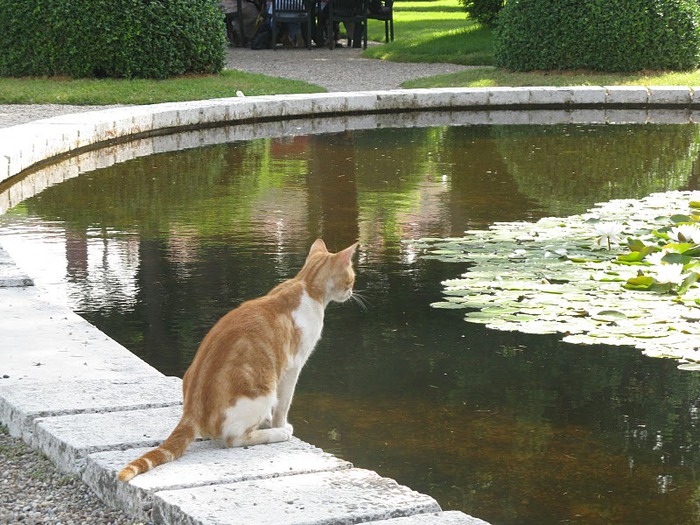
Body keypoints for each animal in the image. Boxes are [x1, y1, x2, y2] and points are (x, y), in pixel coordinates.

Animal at [118, 239, 358, 482]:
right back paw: (277, 433)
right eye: (352, 278)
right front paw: (279, 425)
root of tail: (191, 412)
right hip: (263, 391)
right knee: (234, 439)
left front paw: (270, 420)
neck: (305, 285)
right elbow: (283, 405)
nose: (352, 292)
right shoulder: (292, 367)